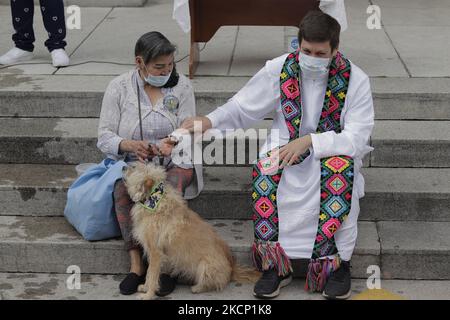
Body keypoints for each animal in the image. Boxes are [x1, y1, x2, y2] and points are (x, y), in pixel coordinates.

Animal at [122, 162, 260, 300]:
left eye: (134, 168)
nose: (122, 166)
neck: (153, 200)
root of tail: (232, 269)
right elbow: (149, 273)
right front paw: (145, 288)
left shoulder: (156, 252)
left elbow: (152, 274)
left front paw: (148, 294)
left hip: (204, 266)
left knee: (215, 283)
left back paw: (197, 288)